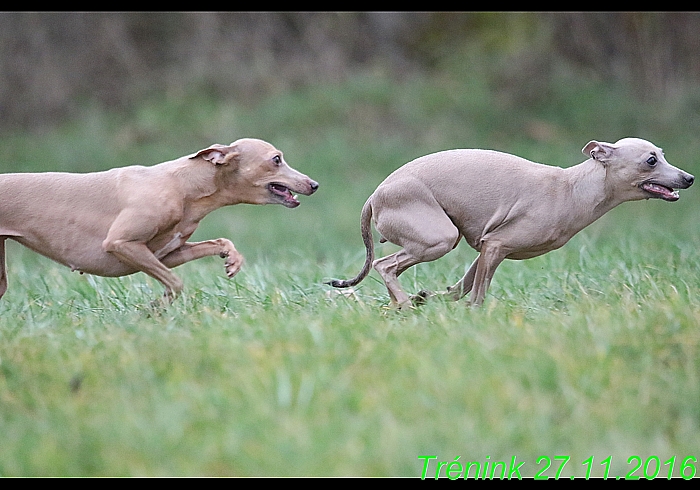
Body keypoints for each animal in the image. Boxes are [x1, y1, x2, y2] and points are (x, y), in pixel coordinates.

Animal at [0, 138, 318, 302]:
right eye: (276, 159)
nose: (314, 184)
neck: (184, 185)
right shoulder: (121, 244)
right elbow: (175, 284)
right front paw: (157, 307)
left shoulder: (166, 253)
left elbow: (217, 243)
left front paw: (232, 258)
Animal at [328, 138, 696, 306]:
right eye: (651, 160)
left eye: (662, 154)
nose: (689, 178)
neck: (574, 188)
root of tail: (374, 196)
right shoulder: (496, 245)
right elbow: (477, 296)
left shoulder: (487, 248)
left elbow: (462, 288)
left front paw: (433, 299)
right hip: (439, 238)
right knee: (384, 265)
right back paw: (403, 303)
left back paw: (400, 303)